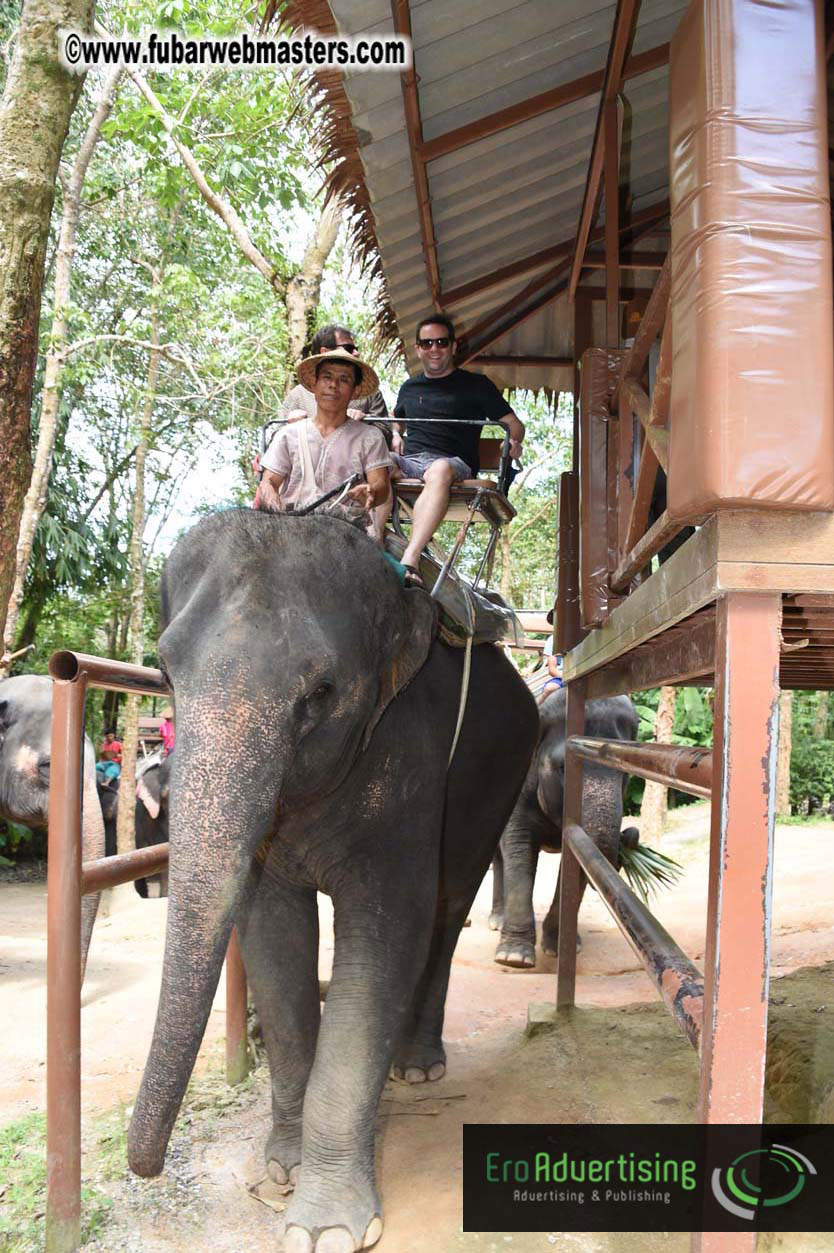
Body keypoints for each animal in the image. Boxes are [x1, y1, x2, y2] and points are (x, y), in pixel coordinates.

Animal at [126, 508, 539, 1253]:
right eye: (164, 673)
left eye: (320, 694)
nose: (142, 1165)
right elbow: (274, 936)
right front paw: (282, 1171)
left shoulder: (409, 756)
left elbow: (386, 930)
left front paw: (327, 1229)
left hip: (499, 779)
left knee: (445, 911)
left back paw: (415, 1065)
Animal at [492, 688, 639, 968]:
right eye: (564, 768)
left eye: (624, 772)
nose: (630, 834)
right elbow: (518, 846)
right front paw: (514, 958)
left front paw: (559, 948)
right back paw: (497, 921)